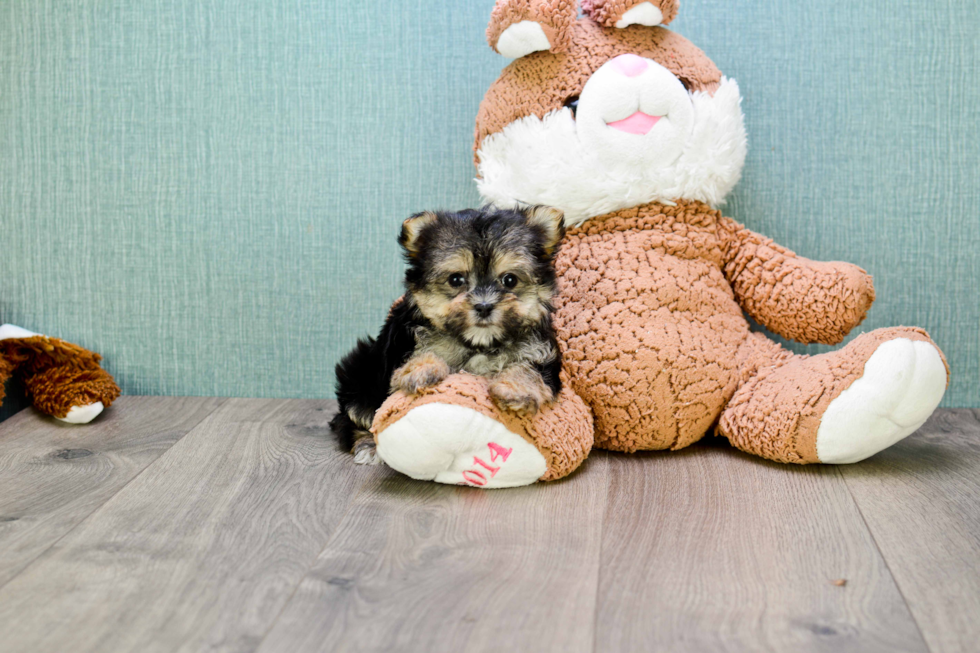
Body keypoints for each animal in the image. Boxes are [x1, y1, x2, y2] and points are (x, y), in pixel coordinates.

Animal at [332, 204, 568, 464]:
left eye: (510, 280)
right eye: (456, 279)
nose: (484, 306)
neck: (478, 343)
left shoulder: (539, 350)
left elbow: (529, 369)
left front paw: (515, 388)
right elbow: (423, 353)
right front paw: (421, 370)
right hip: (359, 373)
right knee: (353, 417)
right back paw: (368, 445)